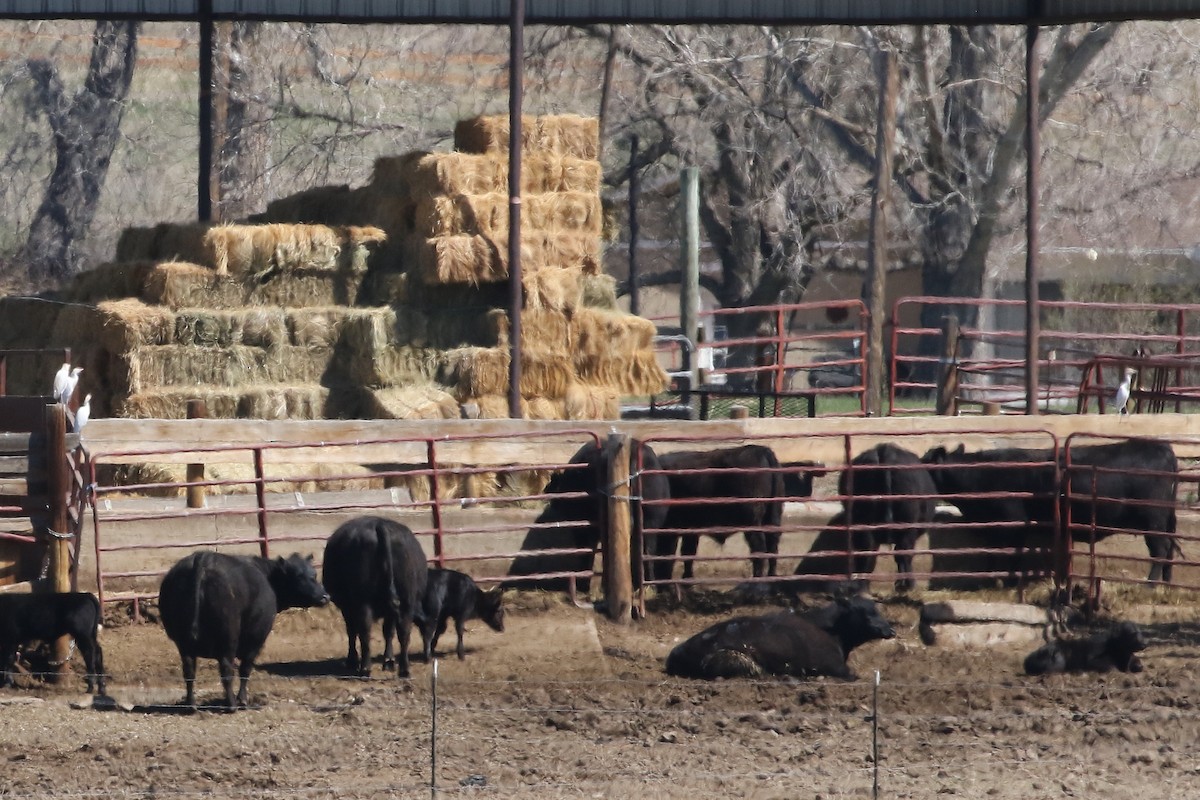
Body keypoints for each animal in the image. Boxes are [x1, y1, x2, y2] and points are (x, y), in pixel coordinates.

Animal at [158, 551, 333, 705]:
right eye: (298, 576)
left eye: (314, 574)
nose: (325, 597)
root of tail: (202, 558)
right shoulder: (256, 640)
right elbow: (245, 669)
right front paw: (243, 699)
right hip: (228, 640)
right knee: (227, 670)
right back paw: (232, 704)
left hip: (184, 644)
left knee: (189, 671)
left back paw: (191, 703)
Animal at [321, 515, 429, 681]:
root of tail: (379, 524)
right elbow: (388, 632)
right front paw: (389, 661)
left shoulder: (347, 608)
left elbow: (351, 632)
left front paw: (352, 660)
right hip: (406, 602)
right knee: (404, 632)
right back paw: (404, 669)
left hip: (363, 602)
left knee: (364, 631)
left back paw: (365, 668)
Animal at [840, 443, 931, 594]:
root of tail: (885, 451)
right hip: (907, 526)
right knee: (904, 553)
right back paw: (908, 585)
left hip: (863, 524)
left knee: (867, 552)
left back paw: (862, 587)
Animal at [921, 438, 1176, 582]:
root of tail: (1163, 449)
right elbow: (992, 553)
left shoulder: (1013, 524)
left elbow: (1010, 553)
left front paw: (1005, 580)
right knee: (1168, 549)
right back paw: (1165, 582)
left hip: (1153, 520)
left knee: (1160, 550)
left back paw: (1151, 584)